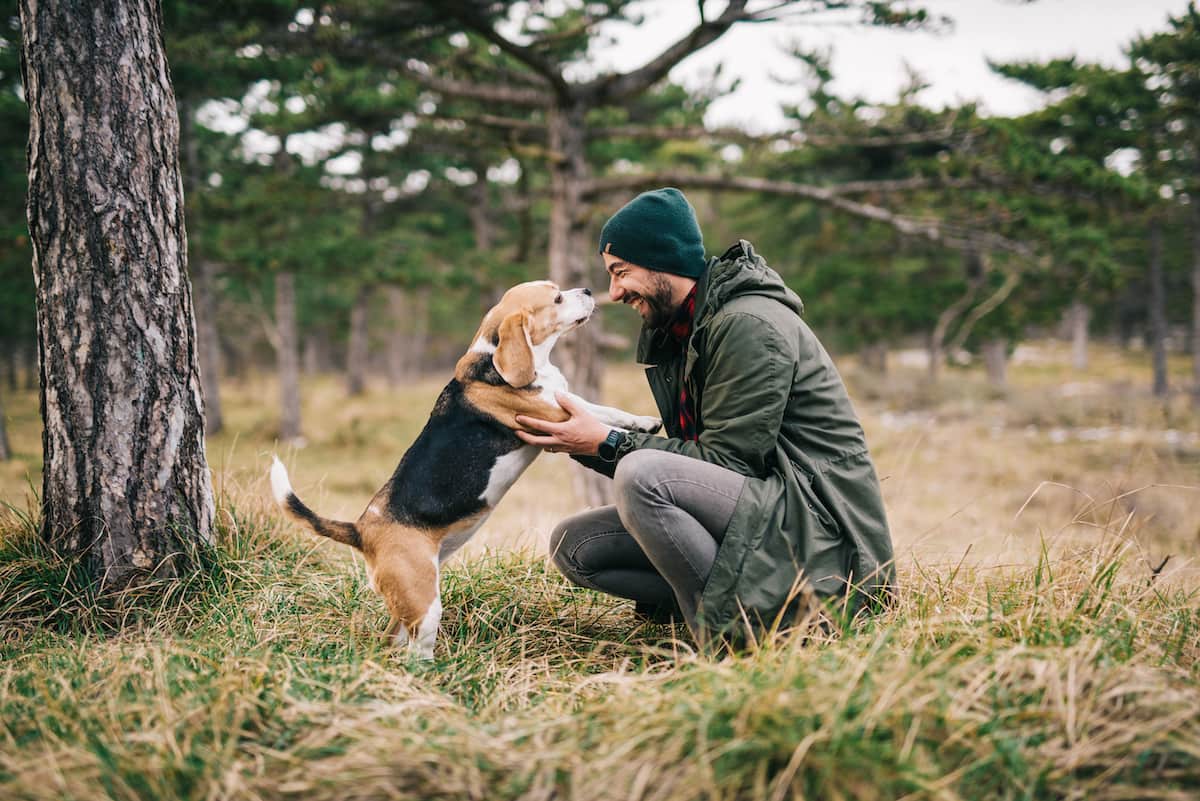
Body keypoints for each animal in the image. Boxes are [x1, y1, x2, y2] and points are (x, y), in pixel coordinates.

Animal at [268, 280, 662, 657]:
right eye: (556, 300)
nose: (587, 290)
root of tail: (362, 529)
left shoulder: (565, 400)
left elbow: (601, 408)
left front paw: (643, 422)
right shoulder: (552, 414)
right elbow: (592, 415)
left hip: (409, 601)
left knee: (392, 642)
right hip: (424, 601)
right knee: (417, 651)